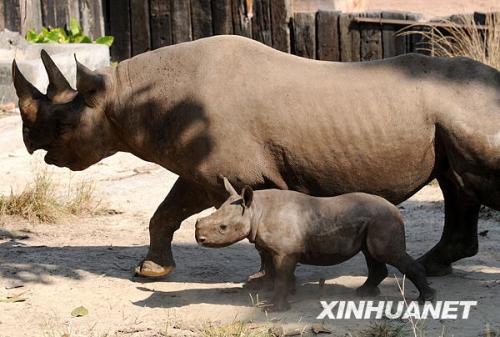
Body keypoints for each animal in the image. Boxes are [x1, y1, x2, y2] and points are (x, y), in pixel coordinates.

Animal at [11, 35, 500, 280]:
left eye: (62, 125)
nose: (31, 143)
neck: (121, 96)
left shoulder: (227, 170)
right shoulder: (204, 169)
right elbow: (165, 212)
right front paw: (152, 271)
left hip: (472, 115)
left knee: (470, 181)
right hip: (451, 119)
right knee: (456, 184)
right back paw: (432, 267)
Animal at [193, 177, 436, 312]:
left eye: (223, 227)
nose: (199, 239)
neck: (256, 210)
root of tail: (396, 209)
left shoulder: (286, 252)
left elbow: (281, 276)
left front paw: (275, 309)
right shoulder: (280, 250)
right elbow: (280, 275)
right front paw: (287, 296)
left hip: (383, 219)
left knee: (385, 253)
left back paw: (425, 299)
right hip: (375, 220)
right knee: (372, 255)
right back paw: (363, 294)